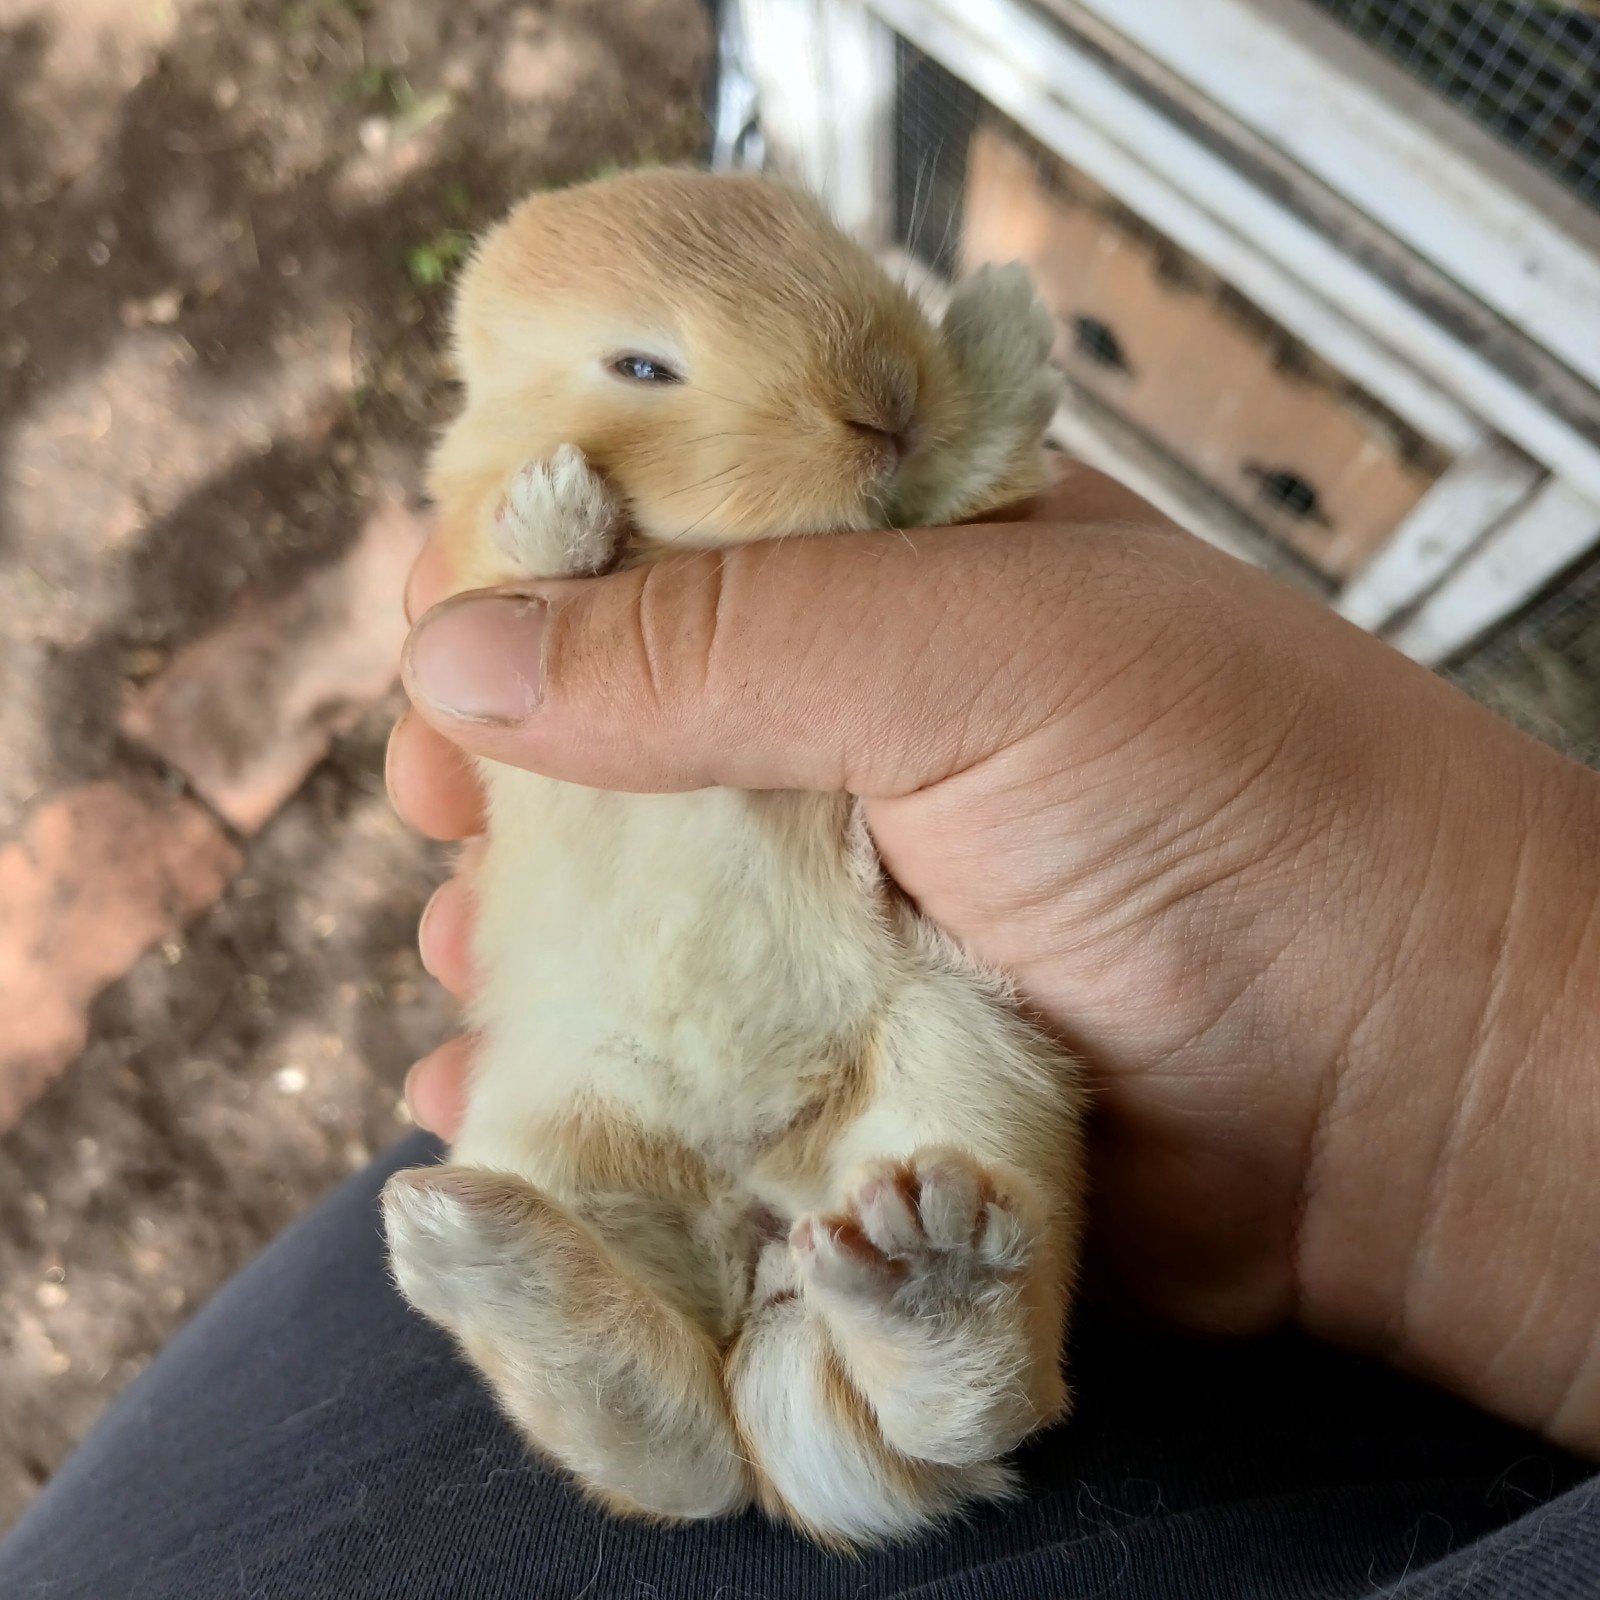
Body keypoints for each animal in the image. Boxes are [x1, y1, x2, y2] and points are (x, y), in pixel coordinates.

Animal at [381, 166, 1085, 1548]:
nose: (885, 402)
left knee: (949, 1410)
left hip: (968, 1060)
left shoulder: (932, 509)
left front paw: (1001, 318)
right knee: (688, 1454)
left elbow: (961, 480)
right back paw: (460, 1245)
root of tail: (765, 1233)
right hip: (563, 1138)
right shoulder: (457, 580)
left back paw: (921, 1275)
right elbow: (509, 553)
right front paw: (558, 504)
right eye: (641, 363)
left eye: (821, 236)